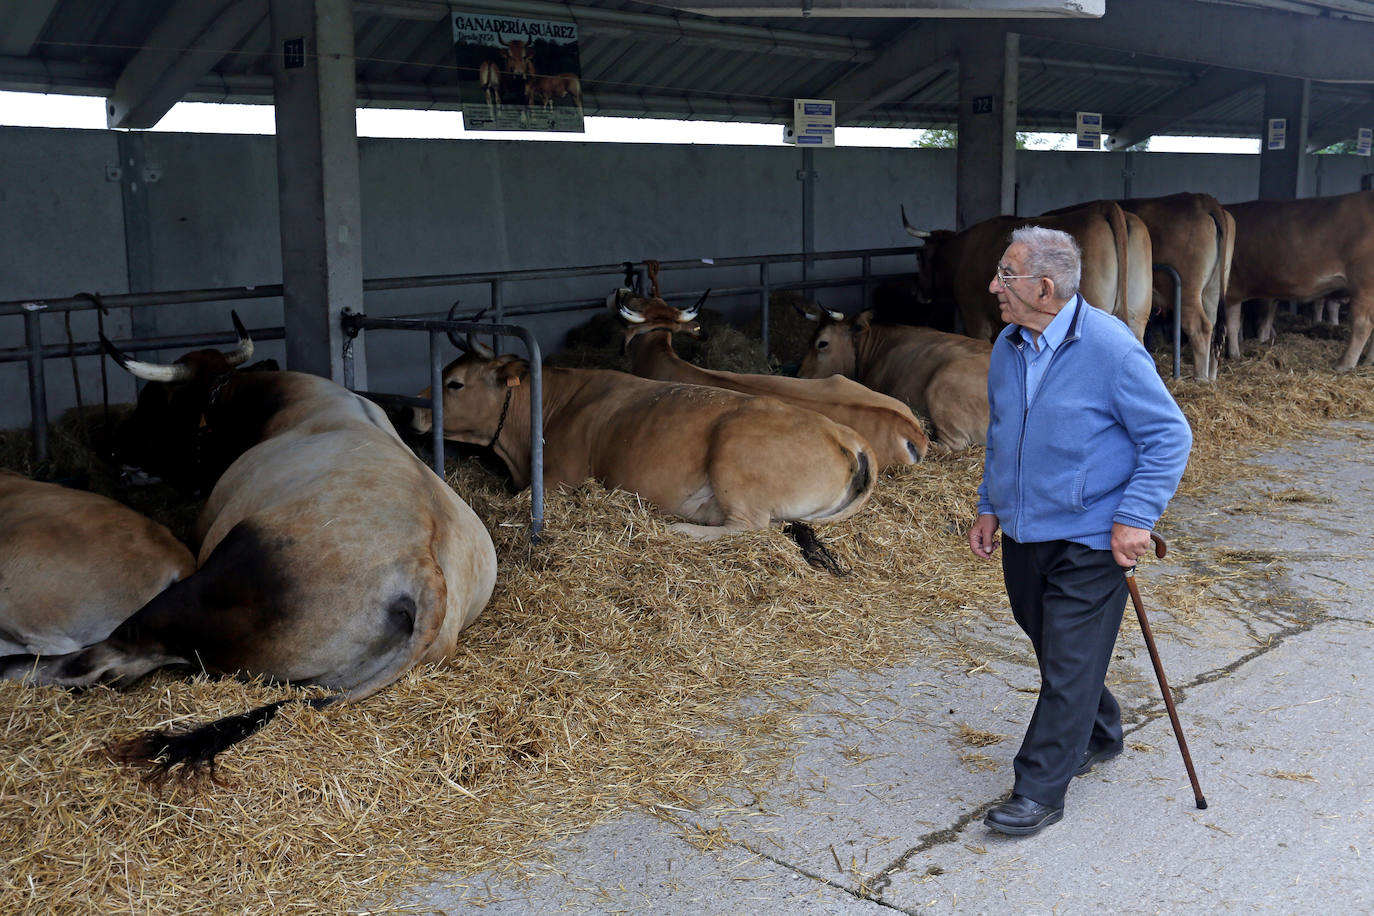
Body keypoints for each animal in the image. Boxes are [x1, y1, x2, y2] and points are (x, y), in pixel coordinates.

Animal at [406, 340, 873, 541]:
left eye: (454, 383)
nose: (413, 410)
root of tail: (844, 434)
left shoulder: (558, 480)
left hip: (734, 457)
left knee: (748, 527)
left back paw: (683, 527)